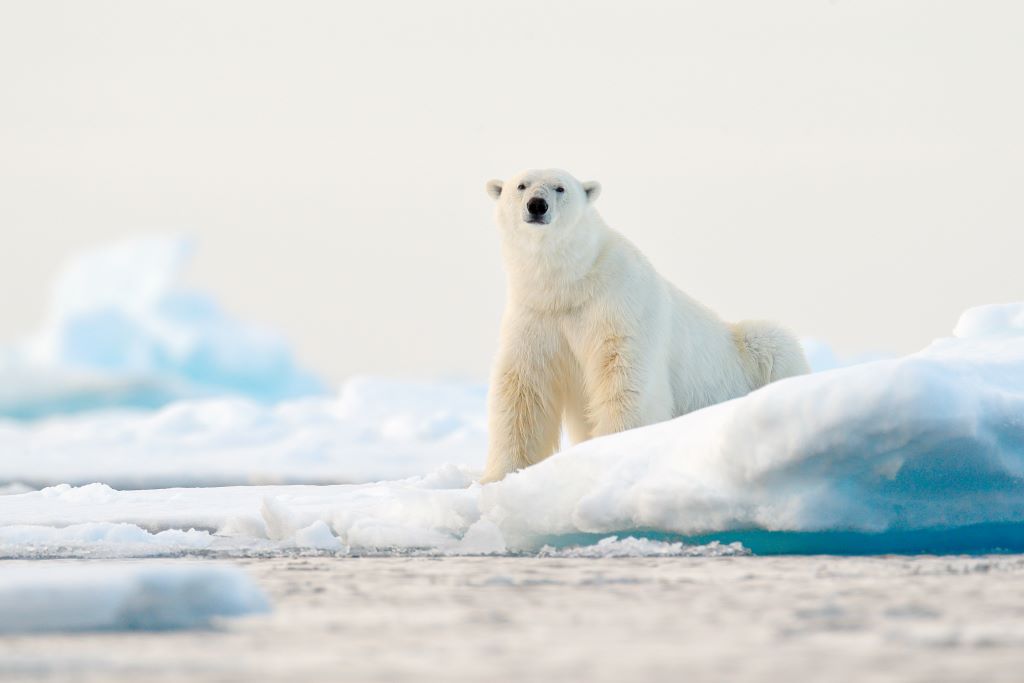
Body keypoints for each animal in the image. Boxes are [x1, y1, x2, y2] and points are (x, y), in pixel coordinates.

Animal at [480, 168, 809, 483]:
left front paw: (615, 448)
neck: (571, 283)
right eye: (521, 185)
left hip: (749, 352)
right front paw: (498, 475)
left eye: (560, 187)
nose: (537, 205)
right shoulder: (536, 316)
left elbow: (623, 375)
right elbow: (523, 389)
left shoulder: (618, 303)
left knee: (773, 343)